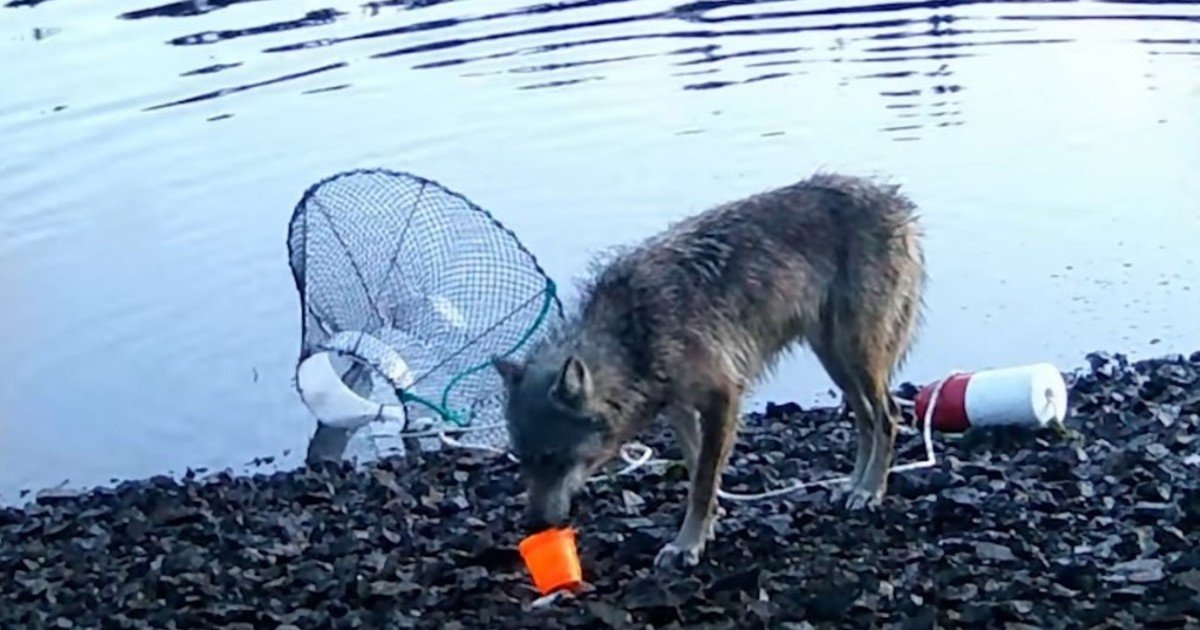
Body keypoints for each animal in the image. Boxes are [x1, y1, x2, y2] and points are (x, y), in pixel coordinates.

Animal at [491, 172, 926, 570]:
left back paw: (870, 491)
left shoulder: (723, 397)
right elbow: (698, 464)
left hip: (855, 355)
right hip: (836, 360)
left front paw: (687, 545)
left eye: (552, 459)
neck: (635, 335)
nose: (533, 526)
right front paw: (708, 525)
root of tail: (895, 201)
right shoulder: (681, 408)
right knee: (867, 419)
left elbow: (701, 480)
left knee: (889, 415)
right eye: (522, 460)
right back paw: (854, 486)